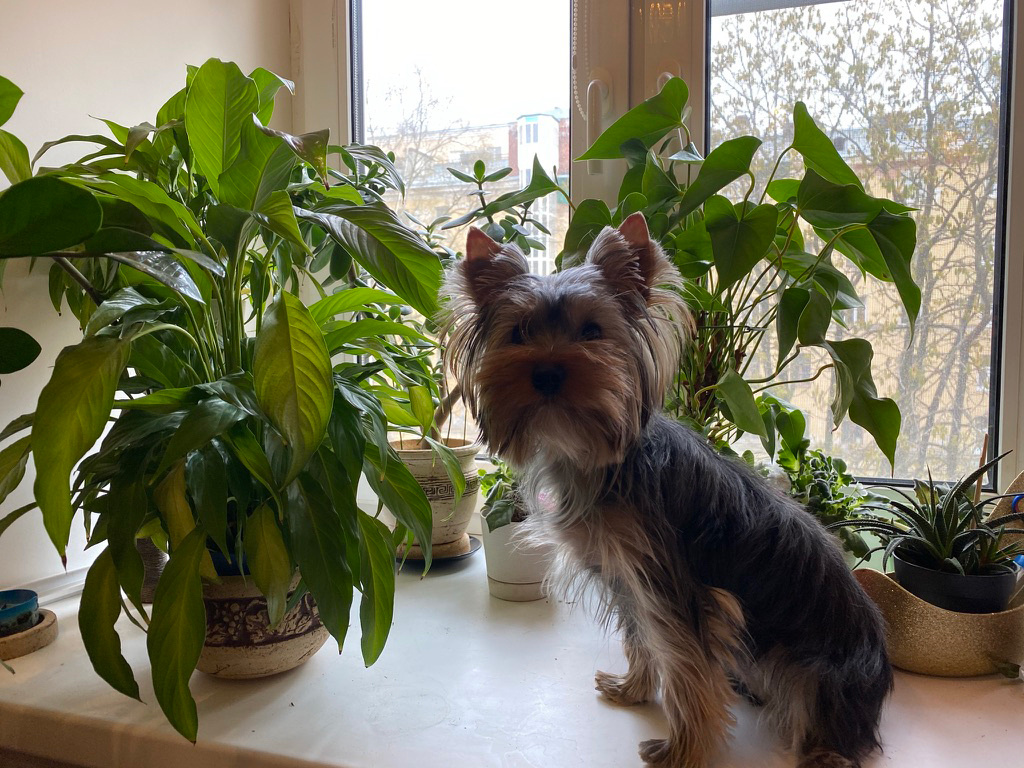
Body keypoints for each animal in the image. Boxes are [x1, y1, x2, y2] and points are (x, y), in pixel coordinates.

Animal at [441, 213, 892, 768]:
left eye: (592, 330)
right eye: (518, 332)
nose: (546, 372)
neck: (597, 457)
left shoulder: (678, 588)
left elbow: (686, 668)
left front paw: (681, 750)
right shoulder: (627, 578)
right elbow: (644, 639)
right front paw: (633, 689)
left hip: (816, 673)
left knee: (824, 721)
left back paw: (824, 751)